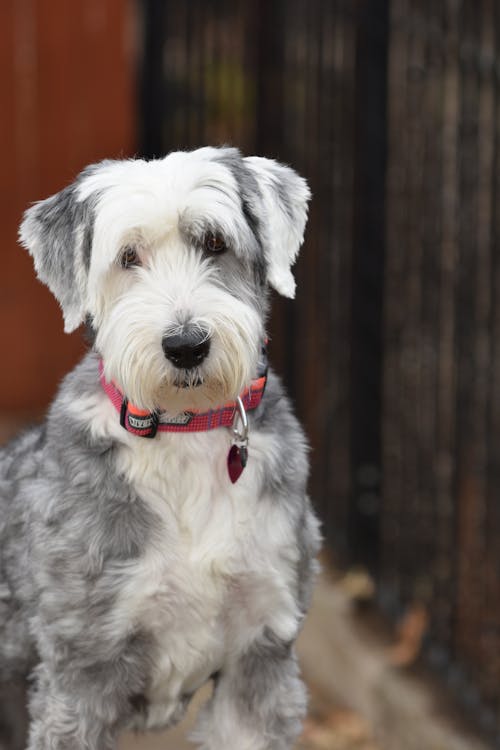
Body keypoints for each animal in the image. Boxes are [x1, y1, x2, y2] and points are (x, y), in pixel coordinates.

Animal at [0, 147, 320, 750]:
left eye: (215, 242)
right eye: (129, 256)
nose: (186, 345)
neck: (182, 430)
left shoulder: (259, 651)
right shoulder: (81, 669)